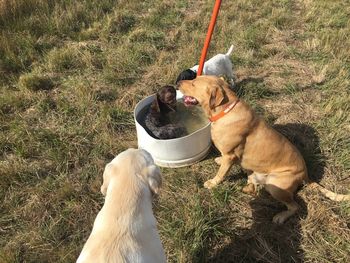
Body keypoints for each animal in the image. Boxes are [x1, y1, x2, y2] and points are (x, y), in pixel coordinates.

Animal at [179, 76, 348, 225]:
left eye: (194, 83)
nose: (178, 82)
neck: (225, 110)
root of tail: (306, 175)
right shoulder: (228, 155)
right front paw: (219, 161)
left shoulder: (230, 155)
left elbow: (221, 173)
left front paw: (213, 183)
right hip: (261, 179)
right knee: (253, 185)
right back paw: (247, 187)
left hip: (276, 186)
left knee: (295, 206)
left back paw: (280, 216)